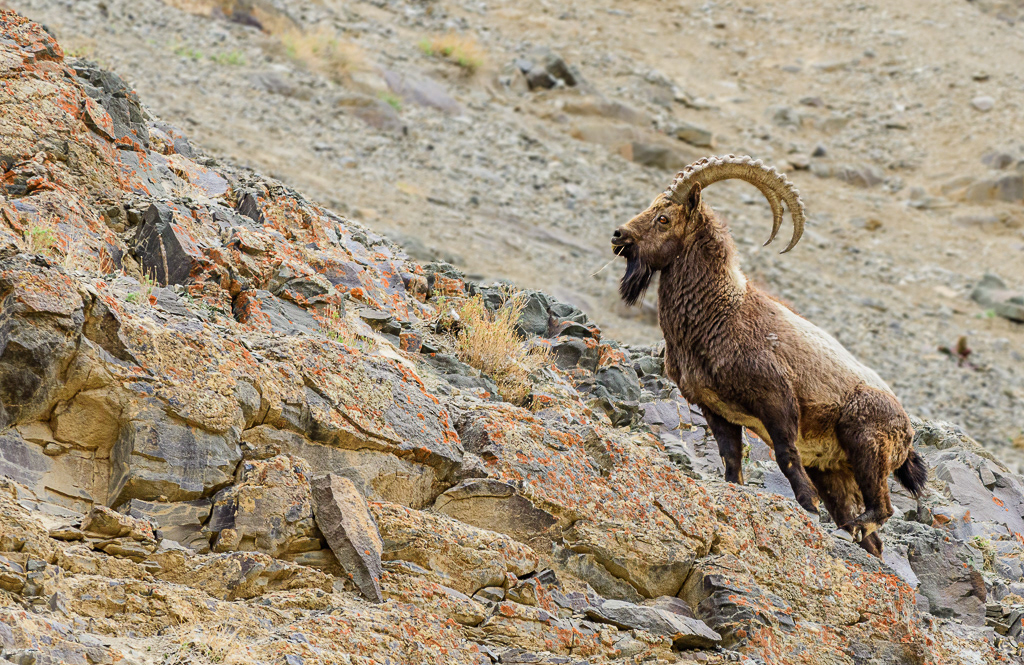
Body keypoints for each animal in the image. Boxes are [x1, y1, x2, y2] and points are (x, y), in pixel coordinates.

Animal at [611, 155, 927, 557]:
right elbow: (731, 459)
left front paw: (807, 507)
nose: (618, 236)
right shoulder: (714, 407)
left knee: (883, 507)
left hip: (865, 441)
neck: (721, 312)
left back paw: (853, 527)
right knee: (870, 535)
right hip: (833, 470)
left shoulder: (776, 397)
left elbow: (786, 455)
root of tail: (908, 432)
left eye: (664, 218)